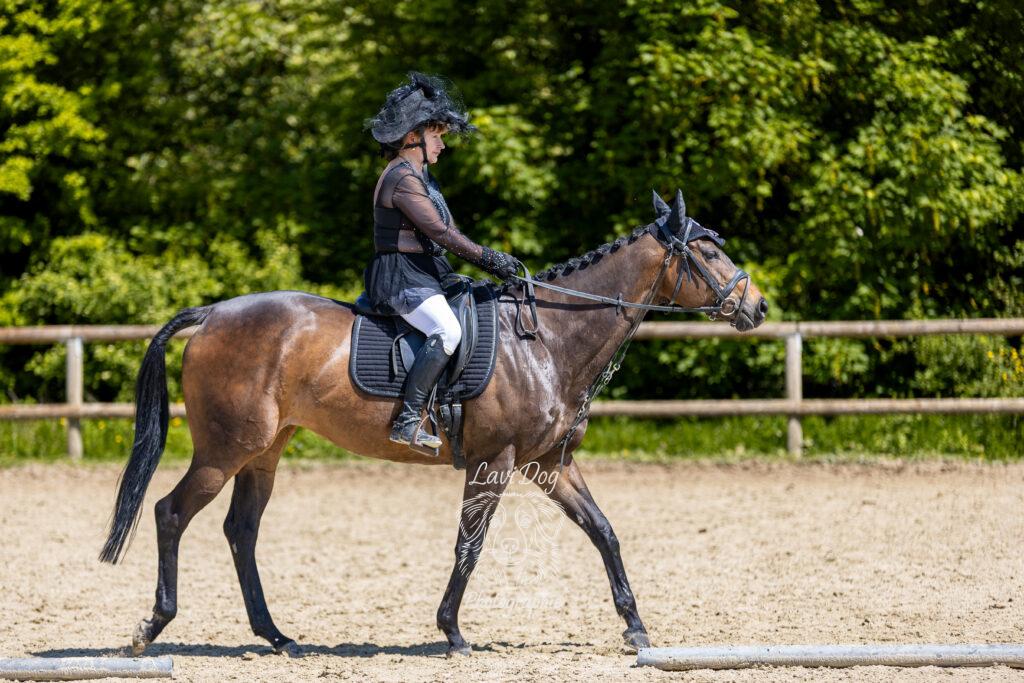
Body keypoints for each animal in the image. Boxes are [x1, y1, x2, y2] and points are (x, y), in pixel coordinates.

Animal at [99, 189, 767, 658]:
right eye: (709, 251)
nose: (756, 306)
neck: (548, 338)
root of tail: (213, 314)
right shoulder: (495, 462)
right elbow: (469, 545)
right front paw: (452, 632)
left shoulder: (548, 465)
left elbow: (604, 532)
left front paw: (636, 627)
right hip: (224, 450)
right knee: (171, 513)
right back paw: (152, 628)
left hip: (264, 451)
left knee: (241, 531)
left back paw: (278, 637)